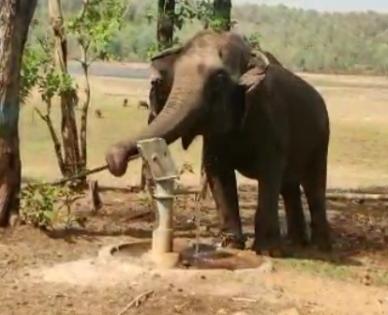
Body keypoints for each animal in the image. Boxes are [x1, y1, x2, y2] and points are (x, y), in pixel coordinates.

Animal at [106, 31, 330, 254]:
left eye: (219, 79)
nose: (114, 159)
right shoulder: (216, 136)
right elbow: (218, 172)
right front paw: (232, 244)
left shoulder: (271, 121)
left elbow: (269, 174)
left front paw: (266, 250)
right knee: (289, 186)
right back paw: (296, 243)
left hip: (321, 139)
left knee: (313, 185)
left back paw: (320, 246)